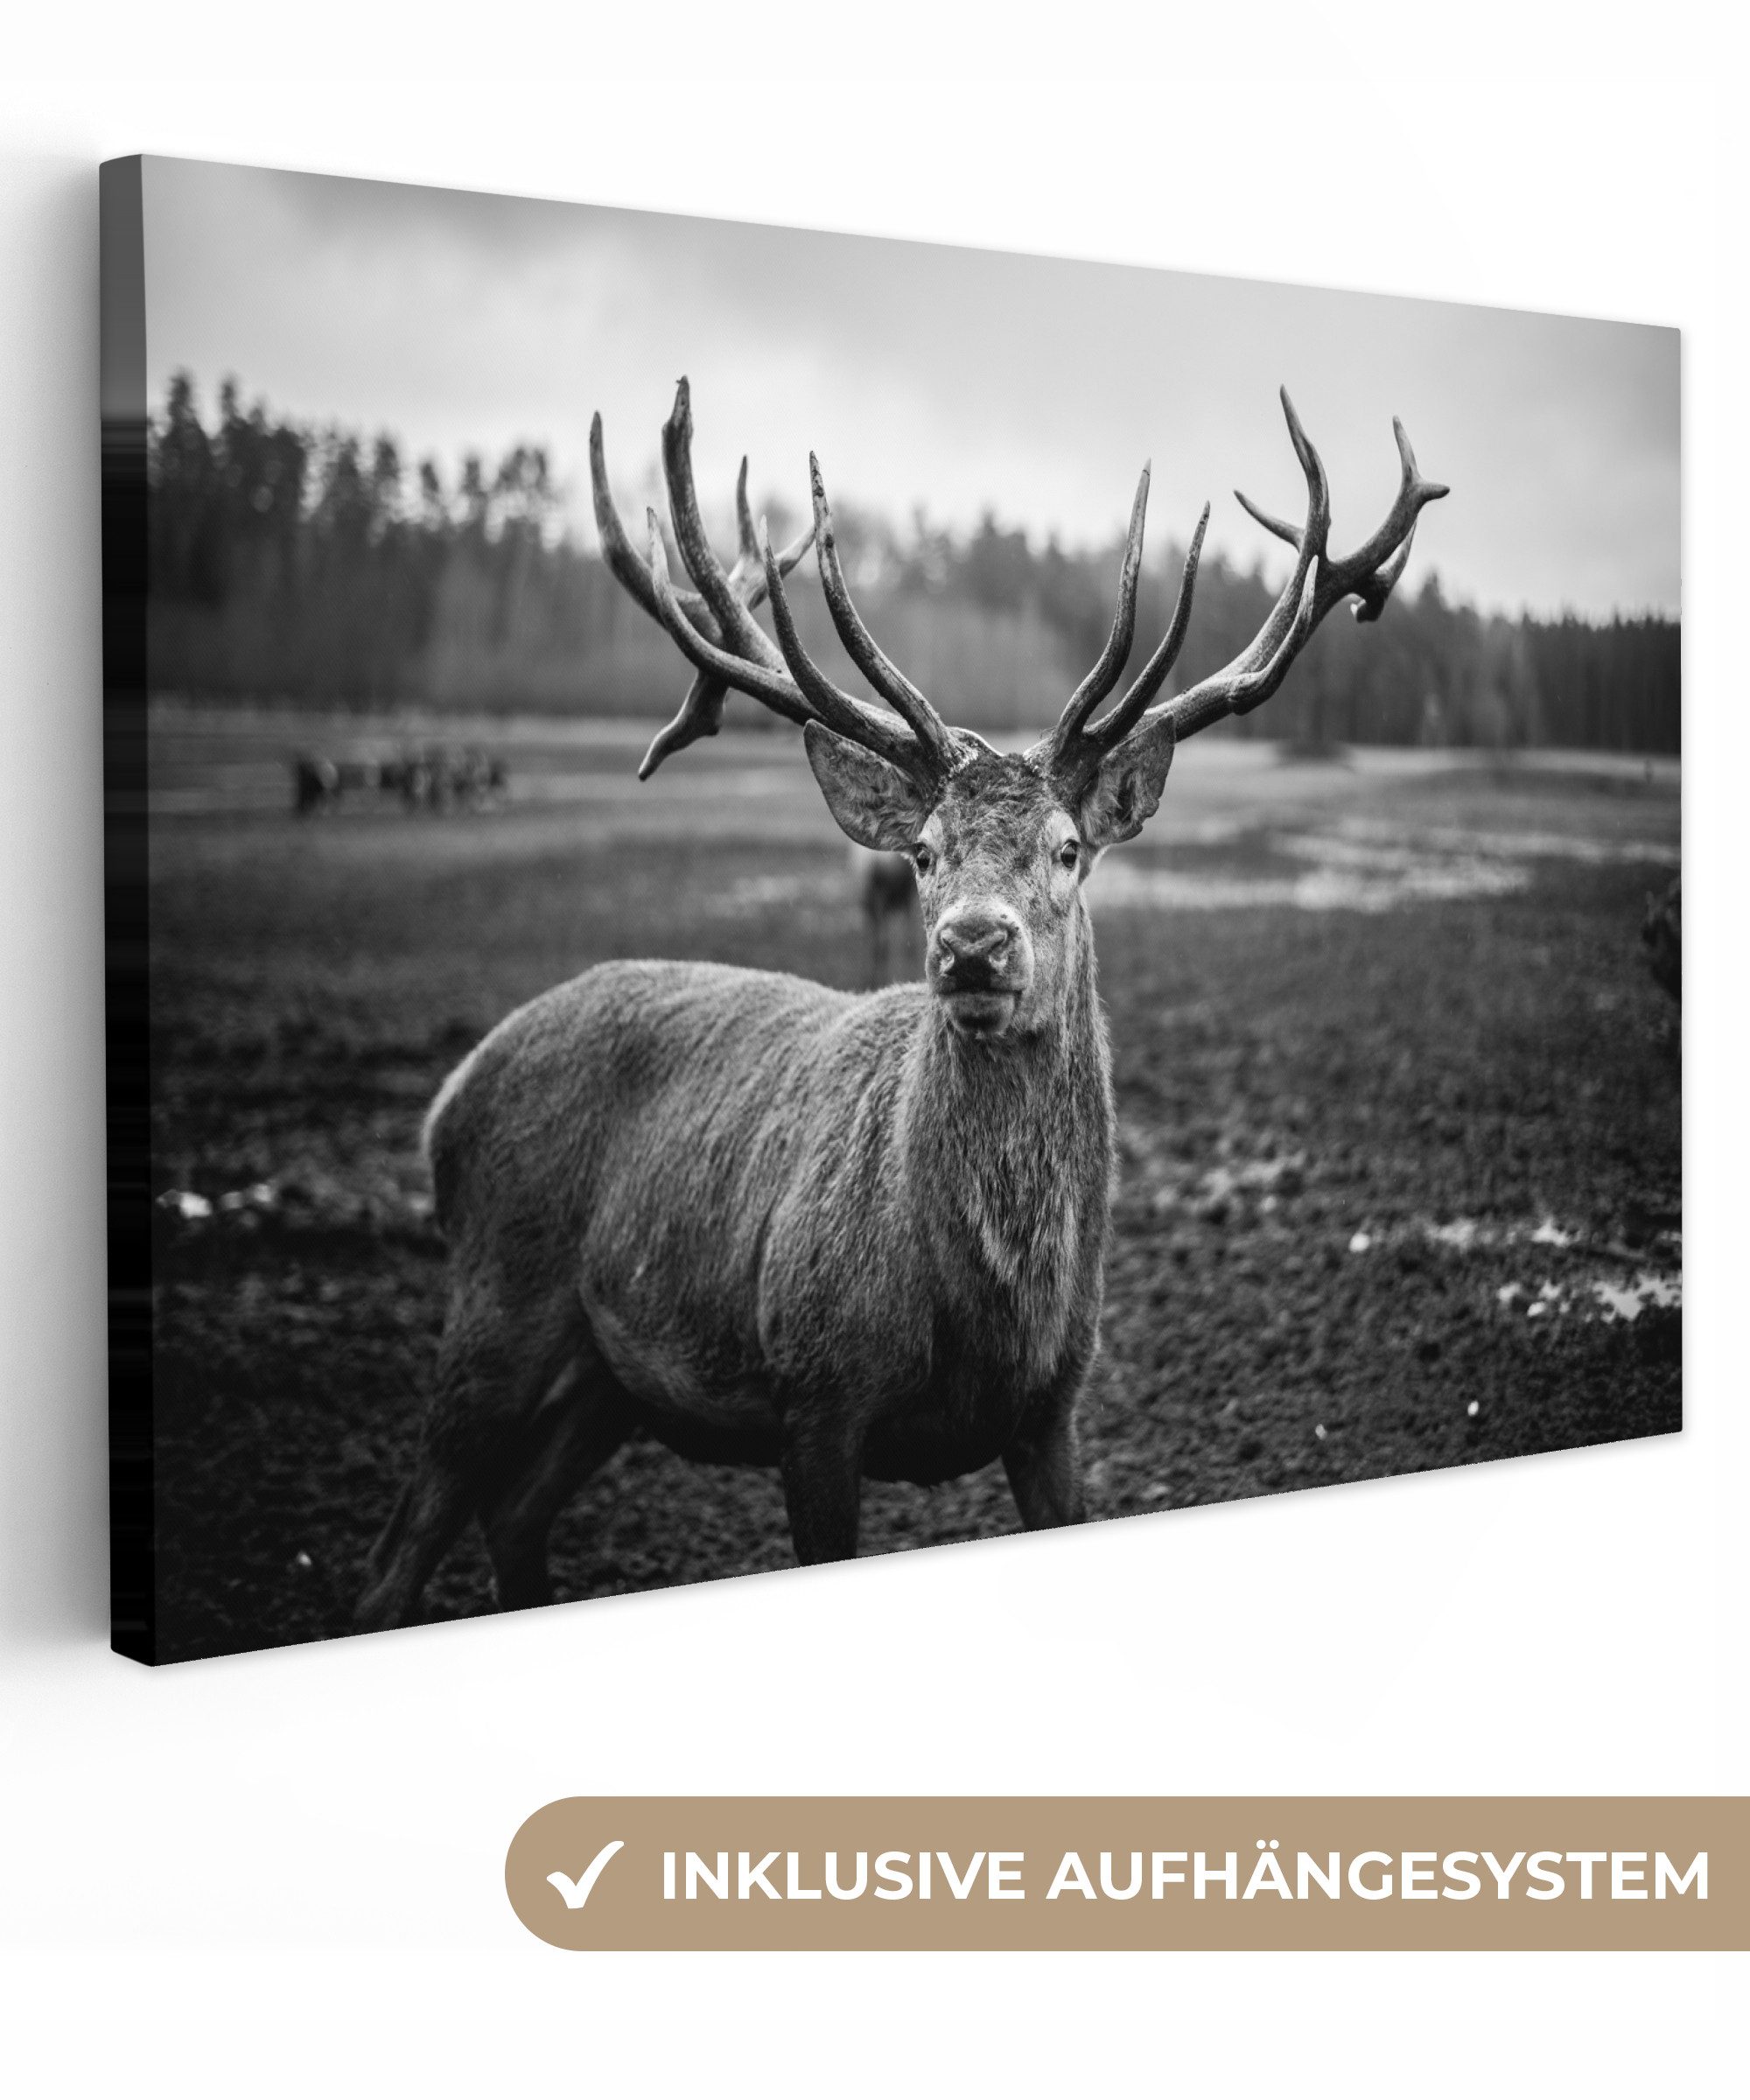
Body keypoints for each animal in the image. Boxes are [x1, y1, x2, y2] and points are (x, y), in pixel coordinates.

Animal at [354, 378, 1445, 1630]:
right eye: (922, 852)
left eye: (1067, 849)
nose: (972, 946)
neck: (985, 1315)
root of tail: (446, 1101)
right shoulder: (815, 1396)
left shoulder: (1055, 1410)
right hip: (498, 1299)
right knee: (395, 1557)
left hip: (603, 1377)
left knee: (513, 1512)